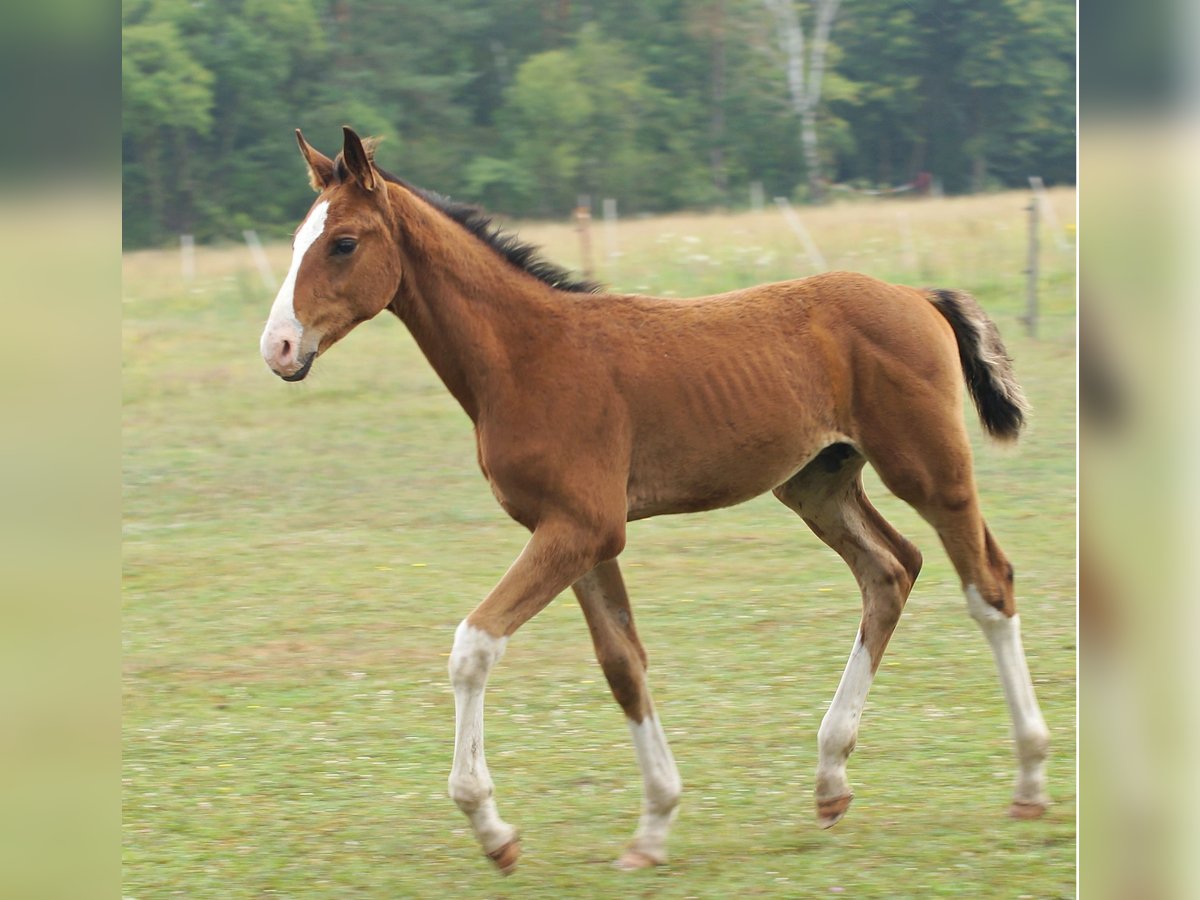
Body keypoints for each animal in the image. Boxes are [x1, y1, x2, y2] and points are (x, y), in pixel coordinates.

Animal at [260, 127, 1051, 873]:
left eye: (343, 242)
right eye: (299, 239)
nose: (278, 348)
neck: (524, 356)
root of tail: (916, 295)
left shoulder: (580, 528)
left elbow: (474, 646)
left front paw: (492, 829)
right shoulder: (578, 534)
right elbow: (622, 664)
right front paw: (653, 826)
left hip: (928, 468)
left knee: (989, 583)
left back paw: (1029, 782)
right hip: (817, 483)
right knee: (889, 571)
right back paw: (830, 781)